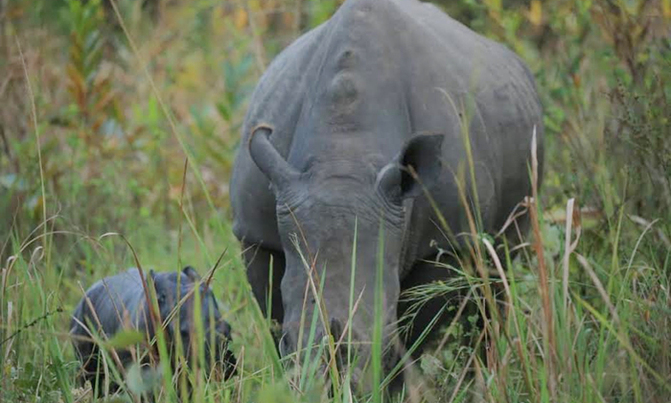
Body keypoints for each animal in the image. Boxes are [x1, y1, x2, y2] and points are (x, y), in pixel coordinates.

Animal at [228, 0, 544, 388]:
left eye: (382, 339)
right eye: (289, 340)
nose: (333, 389)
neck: (343, 157)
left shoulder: (445, 241)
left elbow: (417, 331)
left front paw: (392, 384)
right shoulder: (258, 236)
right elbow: (273, 311)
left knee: (497, 276)